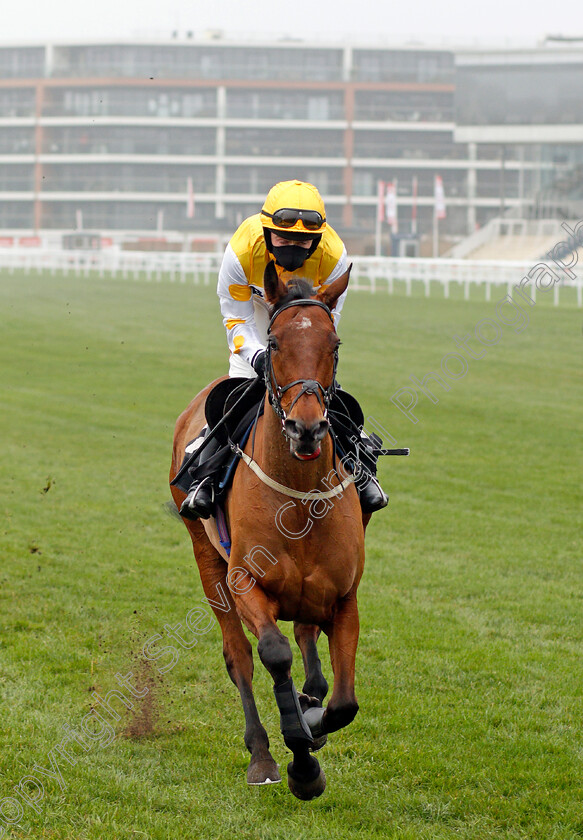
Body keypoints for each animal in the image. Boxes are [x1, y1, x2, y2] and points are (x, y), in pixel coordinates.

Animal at [171, 262, 368, 800]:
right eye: (275, 343)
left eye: (335, 343)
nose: (307, 427)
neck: (297, 499)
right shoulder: (244, 582)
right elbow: (273, 654)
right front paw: (300, 760)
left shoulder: (344, 596)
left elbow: (342, 702)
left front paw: (312, 720)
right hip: (206, 557)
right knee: (239, 655)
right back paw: (261, 752)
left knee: (305, 636)